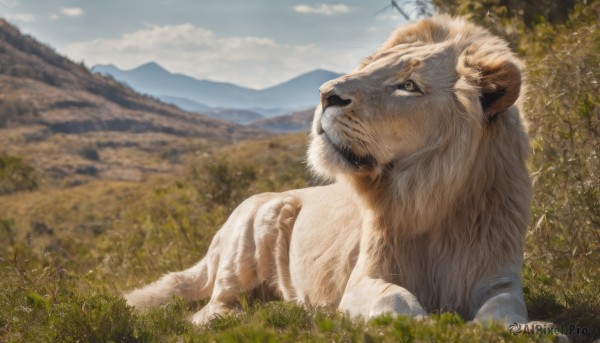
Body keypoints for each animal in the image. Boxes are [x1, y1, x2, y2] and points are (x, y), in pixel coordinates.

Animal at [124, 16, 532, 326]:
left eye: (408, 86)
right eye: (372, 67)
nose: (325, 94)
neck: (433, 198)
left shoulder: (498, 278)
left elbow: (506, 308)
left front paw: (515, 328)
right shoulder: (363, 279)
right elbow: (394, 298)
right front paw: (422, 323)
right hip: (256, 224)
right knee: (215, 305)